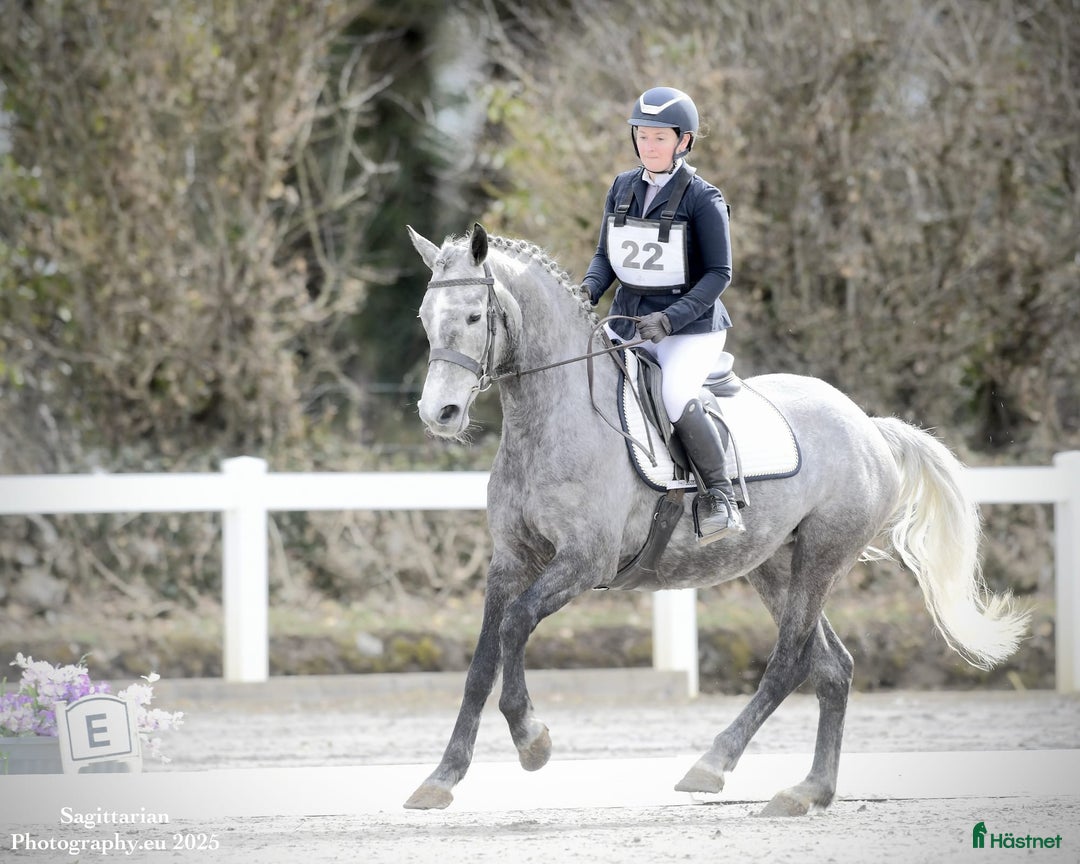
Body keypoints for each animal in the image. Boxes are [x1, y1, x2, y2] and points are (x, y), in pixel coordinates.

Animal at [401, 222, 1028, 816]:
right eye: (425, 319)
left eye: (474, 316)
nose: (439, 414)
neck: (551, 418)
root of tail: (868, 425)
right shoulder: (510, 560)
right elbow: (482, 661)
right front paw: (442, 777)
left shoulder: (584, 562)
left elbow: (515, 626)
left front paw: (532, 740)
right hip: (772, 565)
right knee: (833, 667)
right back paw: (807, 792)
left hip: (822, 556)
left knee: (790, 662)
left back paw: (713, 765)